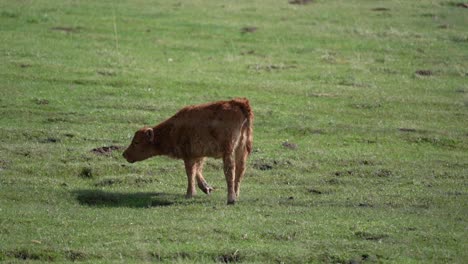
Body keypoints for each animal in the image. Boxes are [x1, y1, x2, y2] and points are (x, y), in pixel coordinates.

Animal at [120, 98, 252, 204]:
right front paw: (206, 188)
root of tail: (239, 103)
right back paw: (236, 194)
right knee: (240, 168)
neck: (173, 128)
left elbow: (190, 172)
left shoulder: (188, 155)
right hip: (241, 149)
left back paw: (231, 199)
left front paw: (189, 194)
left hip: (228, 151)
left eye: (136, 142)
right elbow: (197, 169)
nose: (124, 154)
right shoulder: (198, 154)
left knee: (229, 170)